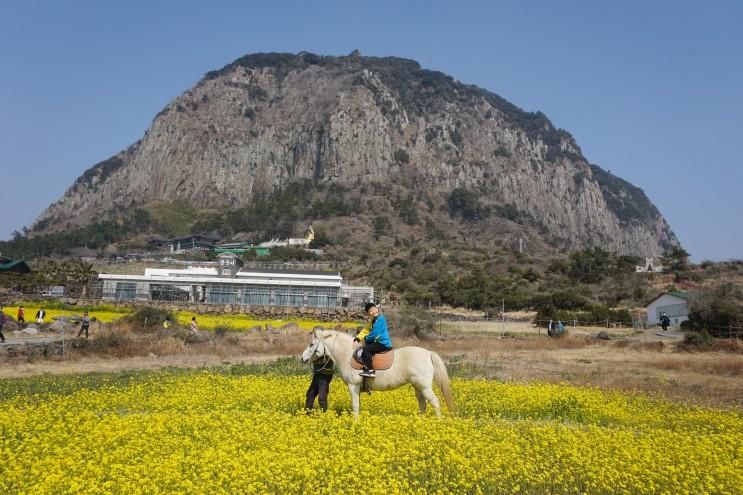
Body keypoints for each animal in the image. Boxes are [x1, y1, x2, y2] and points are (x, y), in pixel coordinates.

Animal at [300, 330, 454, 418]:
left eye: (311, 344)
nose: (302, 358)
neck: (348, 355)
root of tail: (428, 353)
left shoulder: (353, 386)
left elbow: (355, 406)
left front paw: (355, 423)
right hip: (418, 387)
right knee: (422, 404)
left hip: (424, 386)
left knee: (435, 402)